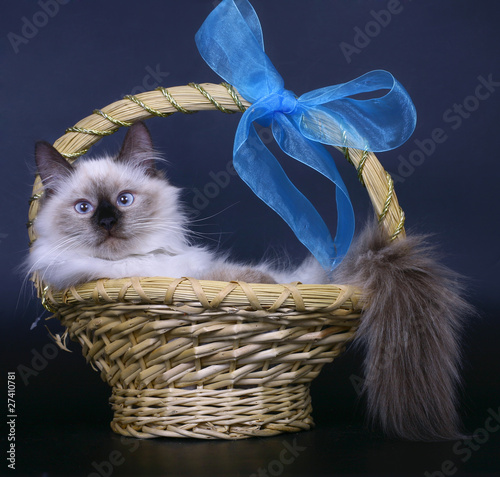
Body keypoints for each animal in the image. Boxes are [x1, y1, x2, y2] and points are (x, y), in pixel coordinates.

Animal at [27, 121, 472, 440]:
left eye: (124, 200)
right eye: (84, 208)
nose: (106, 222)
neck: (139, 268)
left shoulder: (200, 272)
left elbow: (239, 279)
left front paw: (262, 288)